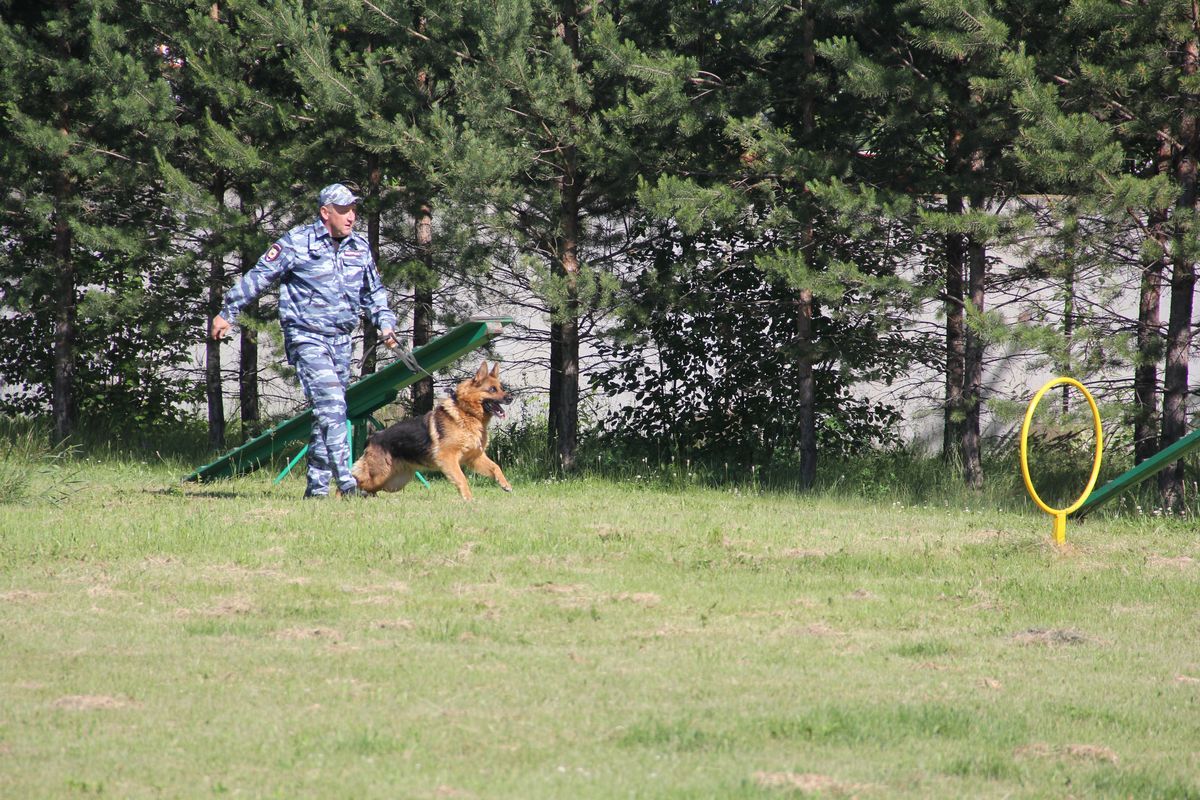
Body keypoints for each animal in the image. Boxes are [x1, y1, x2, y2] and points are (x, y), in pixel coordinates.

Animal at [350, 359, 513, 496]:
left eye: (501, 388)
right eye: (492, 389)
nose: (510, 398)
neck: (466, 412)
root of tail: (373, 437)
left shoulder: (475, 457)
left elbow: (495, 466)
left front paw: (505, 484)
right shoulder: (448, 457)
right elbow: (461, 478)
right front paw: (468, 500)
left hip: (393, 482)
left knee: (368, 488)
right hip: (379, 475)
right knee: (356, 478)